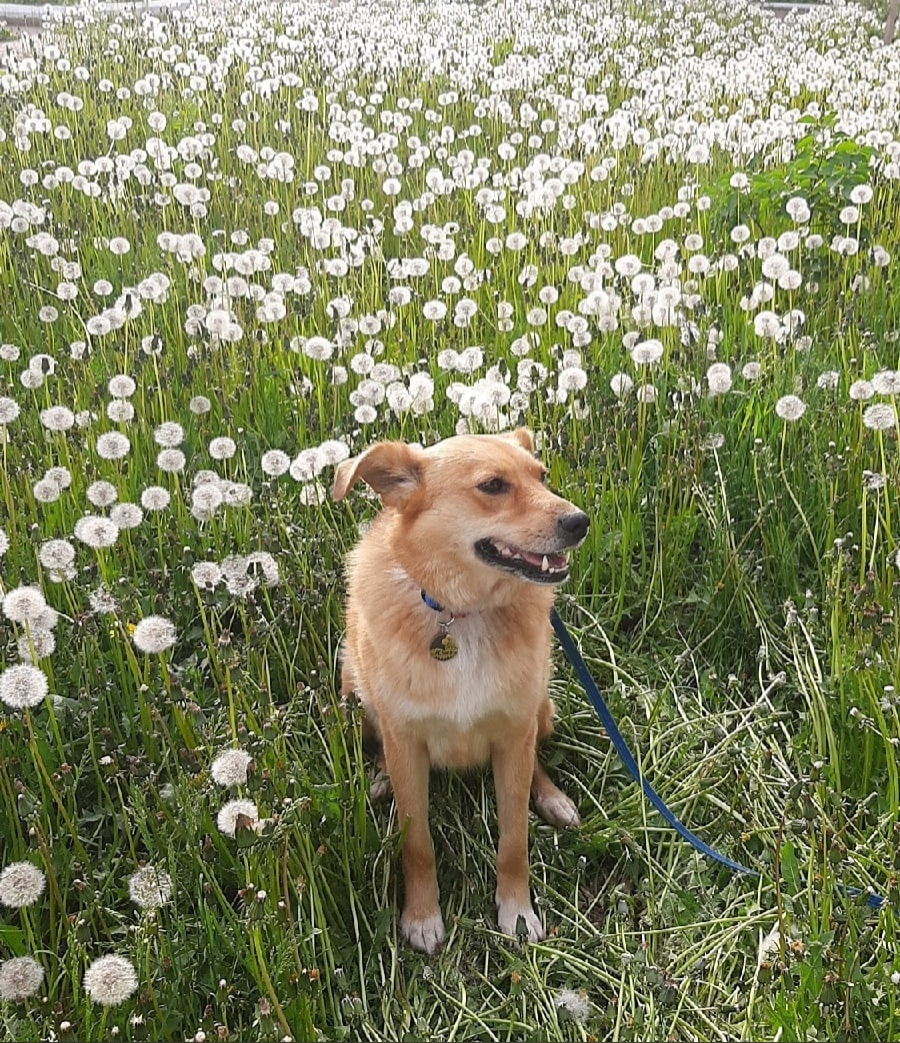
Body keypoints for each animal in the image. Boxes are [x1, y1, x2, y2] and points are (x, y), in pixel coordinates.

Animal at [331, 425, 592, 955]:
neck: (461, 615)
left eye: (541, 476)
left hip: (541, 709)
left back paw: (552, 797)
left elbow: (514, 839)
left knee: (536, 761)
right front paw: (422, 916)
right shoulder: (407, 743)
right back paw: (381, 778)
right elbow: (417, 844)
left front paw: (516, 911)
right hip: (357, 693)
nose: (580, 521)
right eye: (493, 486)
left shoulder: (512, 736)